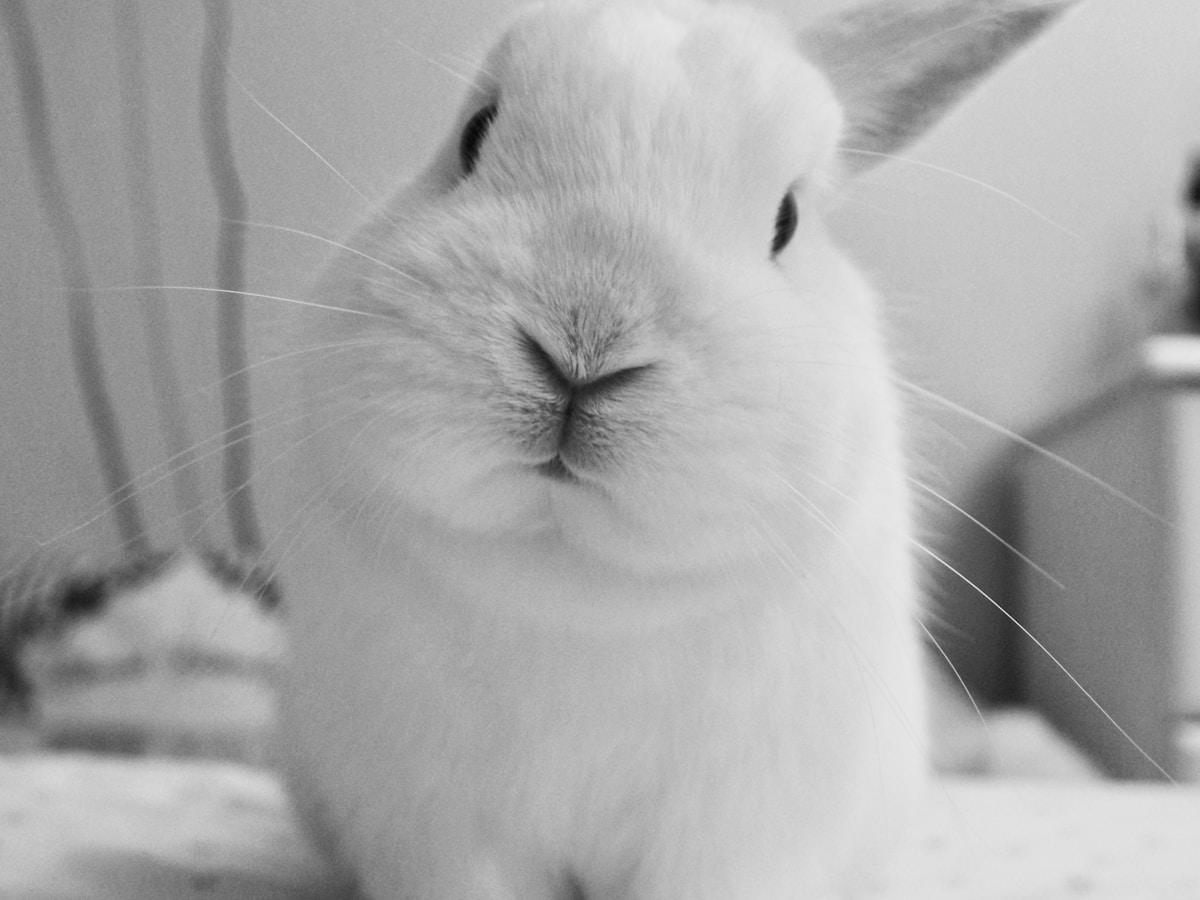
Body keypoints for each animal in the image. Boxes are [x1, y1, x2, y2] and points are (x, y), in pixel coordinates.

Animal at [273, 1, 1076, 898]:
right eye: (474, 135)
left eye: (787, 222)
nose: (582, 346)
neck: (574, 587)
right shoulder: (439, 828)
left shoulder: (736, 834)